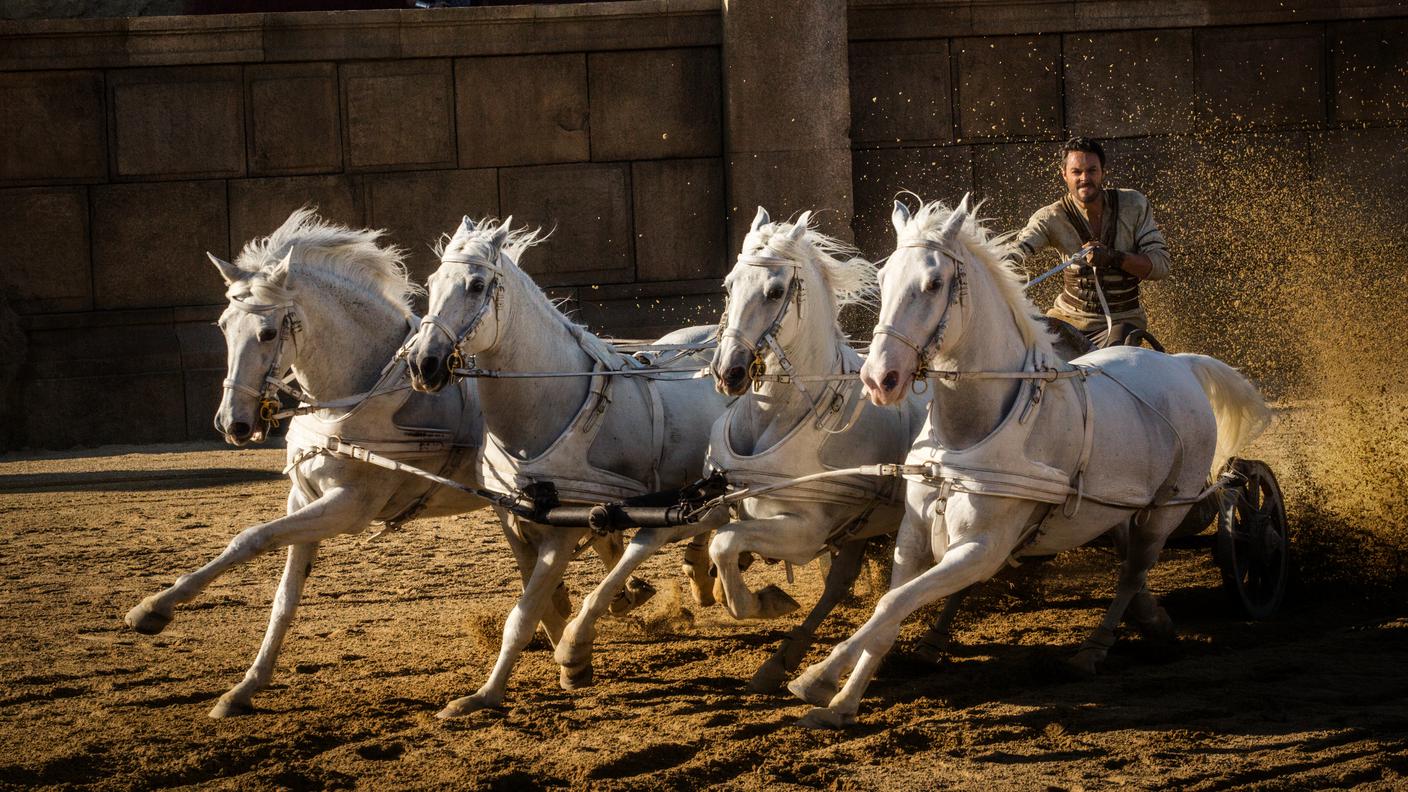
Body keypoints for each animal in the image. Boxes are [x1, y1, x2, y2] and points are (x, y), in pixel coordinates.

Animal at [125, 208, 616, 715]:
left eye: (267, 332)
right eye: (223, 325)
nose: (232, 423)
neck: (356, 395)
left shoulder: (349, 507)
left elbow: (251, 537)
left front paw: (153, 609)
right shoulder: (303, 497)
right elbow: (284, 597)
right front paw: (245, 686)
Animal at [405, 217, 726, 715]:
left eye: (476, 285)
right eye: (431, 282)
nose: (424, 363)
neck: (550, 402)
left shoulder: (564, 525)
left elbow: (523, 615)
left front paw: (509, 686)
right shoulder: (513, 518)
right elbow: (541, 606)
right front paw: (495, 688)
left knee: (673, 530)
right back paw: (694, 577)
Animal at [698, 207, 929, 687]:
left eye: (775, 291)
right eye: (729, 284)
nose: (728, 372)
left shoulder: (805, 531)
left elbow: (725, 544)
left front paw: (764, 601)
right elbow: (711, 538)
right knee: (841, 580)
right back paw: (781, 661)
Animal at [788, 195, 1272, 721]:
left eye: (934, 283)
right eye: (884, 279)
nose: (879, 379)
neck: (967, 435)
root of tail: (1180, 363)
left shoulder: (982, 548)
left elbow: (893, 603)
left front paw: (816, 675)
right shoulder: (913, 536)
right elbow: (891, 609)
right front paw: (841, 699)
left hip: (1165, 510)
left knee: (1132, 572)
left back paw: (1093, 650)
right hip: (1118, 509)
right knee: (1129, 564)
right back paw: (1151, 623)